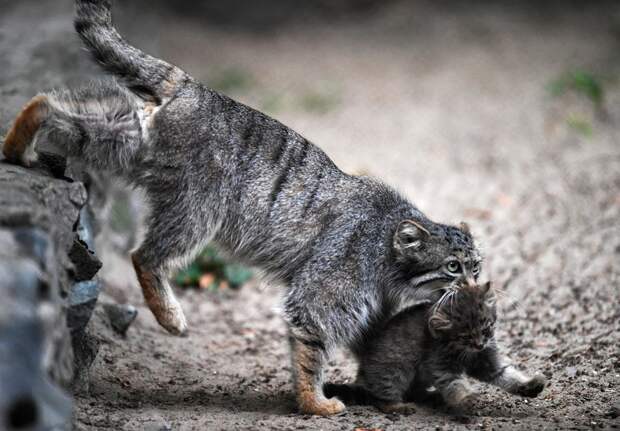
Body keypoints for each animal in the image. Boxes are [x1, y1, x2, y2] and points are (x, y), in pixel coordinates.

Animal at [1, 0, 480, 418]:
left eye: (477, 266)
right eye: (453, 267)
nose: (476, 285)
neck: (385, 243)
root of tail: (191, 85)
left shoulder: (371, 309)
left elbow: (378, 349)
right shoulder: (324, 294)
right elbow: (312, 348)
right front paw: (313, 402)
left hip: (126, 143)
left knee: (58, 108)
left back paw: (20, 138)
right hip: (198, 207)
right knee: (145, 255)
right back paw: (170, 315)